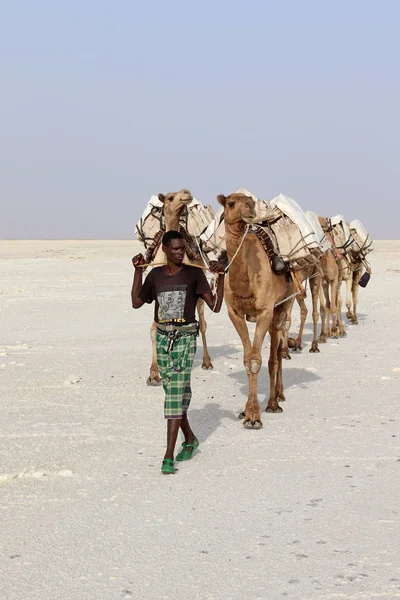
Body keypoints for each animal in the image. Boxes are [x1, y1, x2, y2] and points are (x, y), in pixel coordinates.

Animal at [147, 189, 214, 384]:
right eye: (170, 198)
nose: (186, 192)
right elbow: (154, 330)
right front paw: (153, 373)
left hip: (200, 297)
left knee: (203, 324)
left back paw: (207, 362)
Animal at [219, 192, 294, 426]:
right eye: (231, 203)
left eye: (250, 200)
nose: (250, 208)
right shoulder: (234, 313)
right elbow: (246, 359)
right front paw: (246, 412)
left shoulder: (265, 311)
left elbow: (255, 361)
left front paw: (254, 416)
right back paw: (277, 395)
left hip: (283, 305)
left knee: (275, 356)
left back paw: (274, 402)